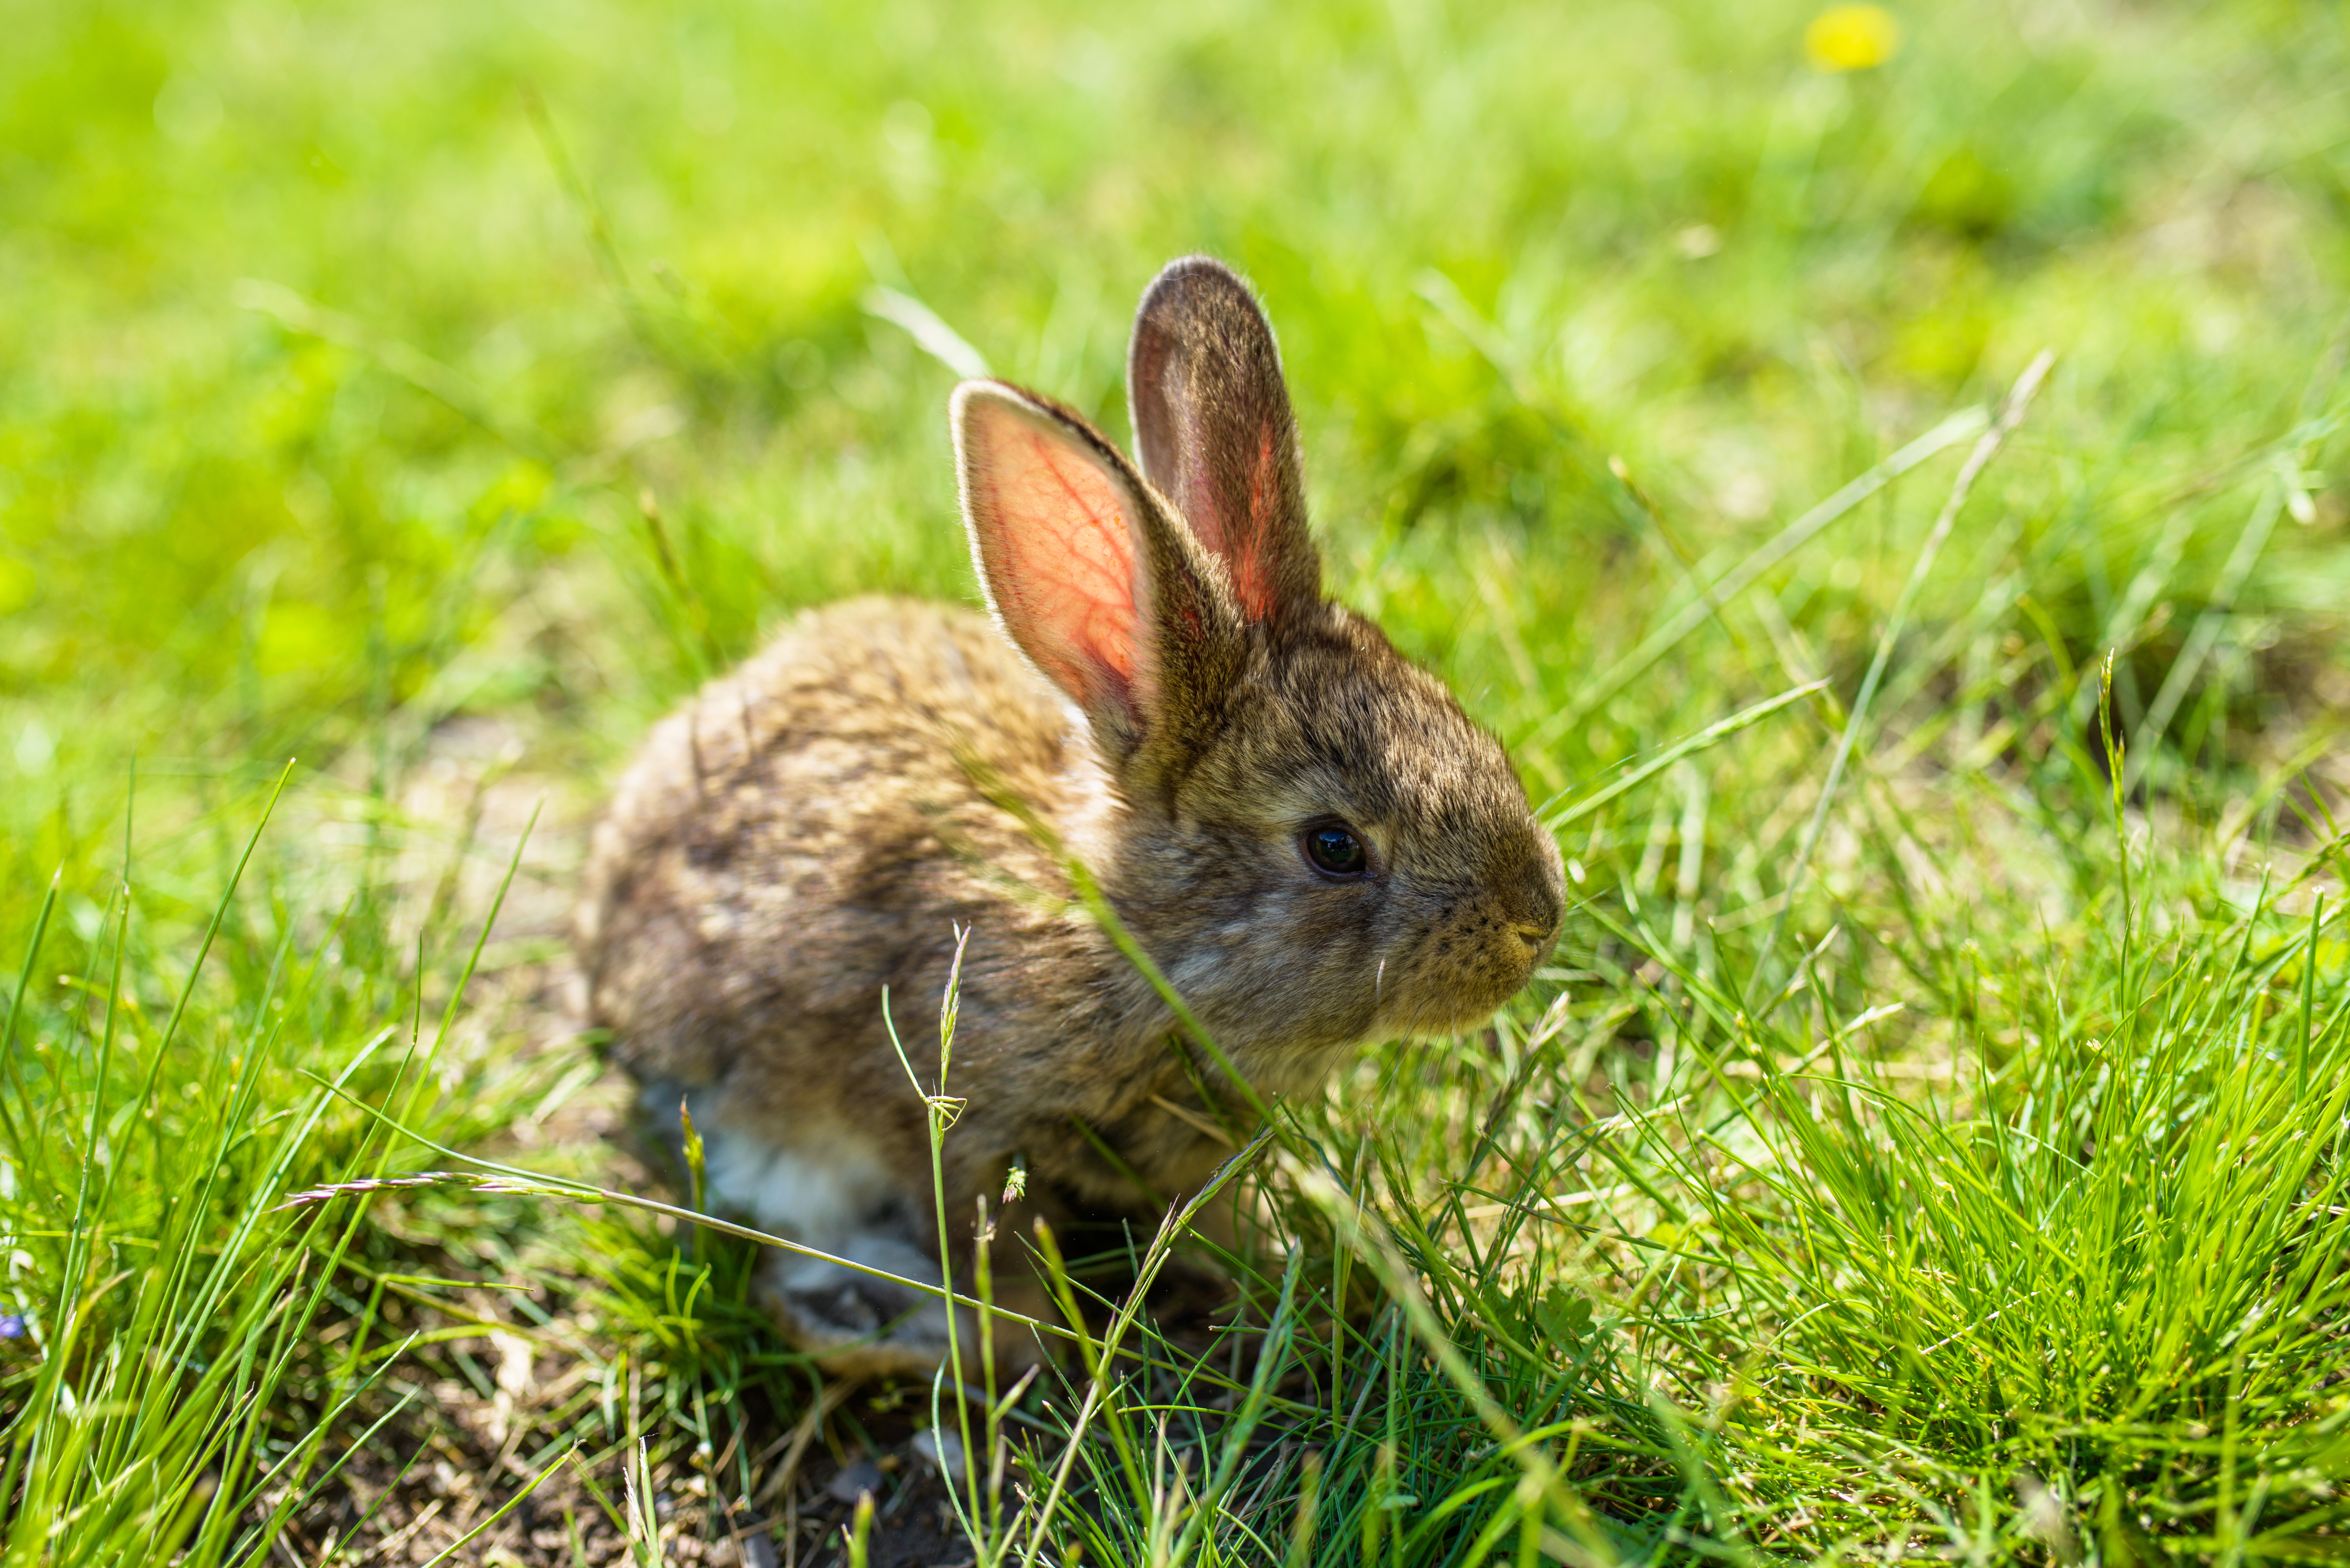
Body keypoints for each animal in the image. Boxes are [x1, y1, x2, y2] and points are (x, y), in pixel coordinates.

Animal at [573, 257, 1560, 1373]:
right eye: (1333, 846)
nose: (1537, 917)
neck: (1125, 938)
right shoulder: (953, 1123)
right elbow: (985, 1245)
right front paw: (1032, 1341)